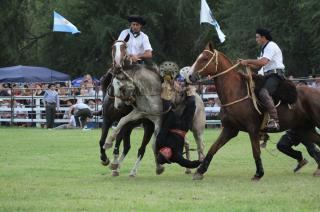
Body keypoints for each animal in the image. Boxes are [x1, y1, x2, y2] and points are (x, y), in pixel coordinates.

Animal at [186, 42, 320, 181]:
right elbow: (213, 148)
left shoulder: (252, 129)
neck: (235, 92)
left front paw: (258, 173)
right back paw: (317, 170)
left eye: (205, 59)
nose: (189, 76)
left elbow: (256, 151)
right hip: (304, 129)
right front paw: (199, 171)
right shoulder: (230, 129)